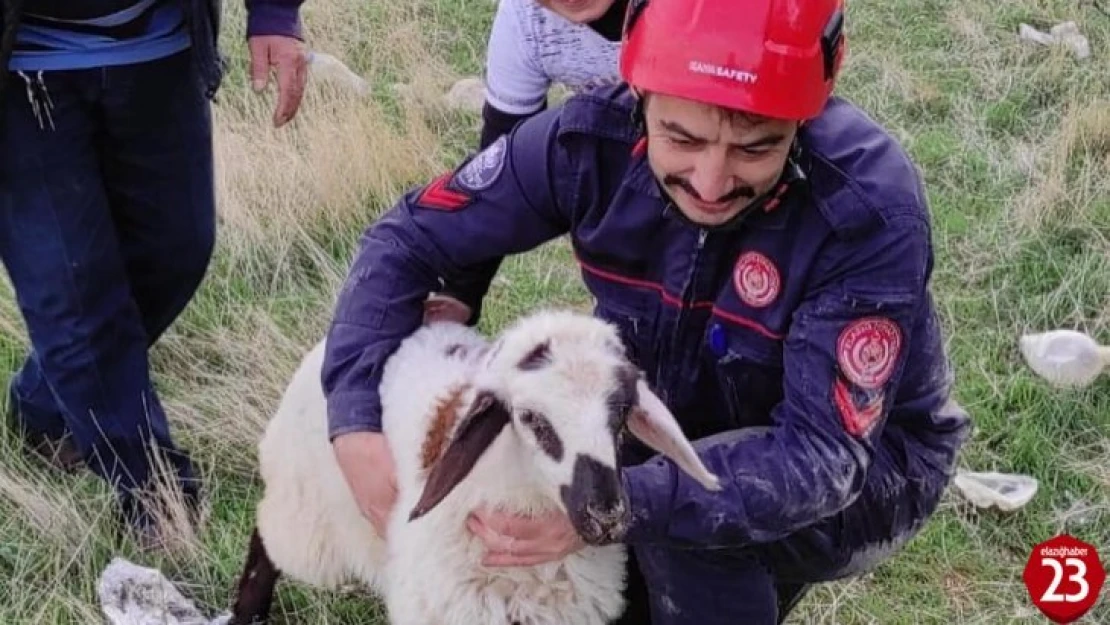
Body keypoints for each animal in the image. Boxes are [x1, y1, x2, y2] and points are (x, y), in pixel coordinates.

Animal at [229, 308, 723, 625]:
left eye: (621, 410)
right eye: (529, 417)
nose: (606, 516)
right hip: (305, 505)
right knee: (266, 538)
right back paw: (245, 613)